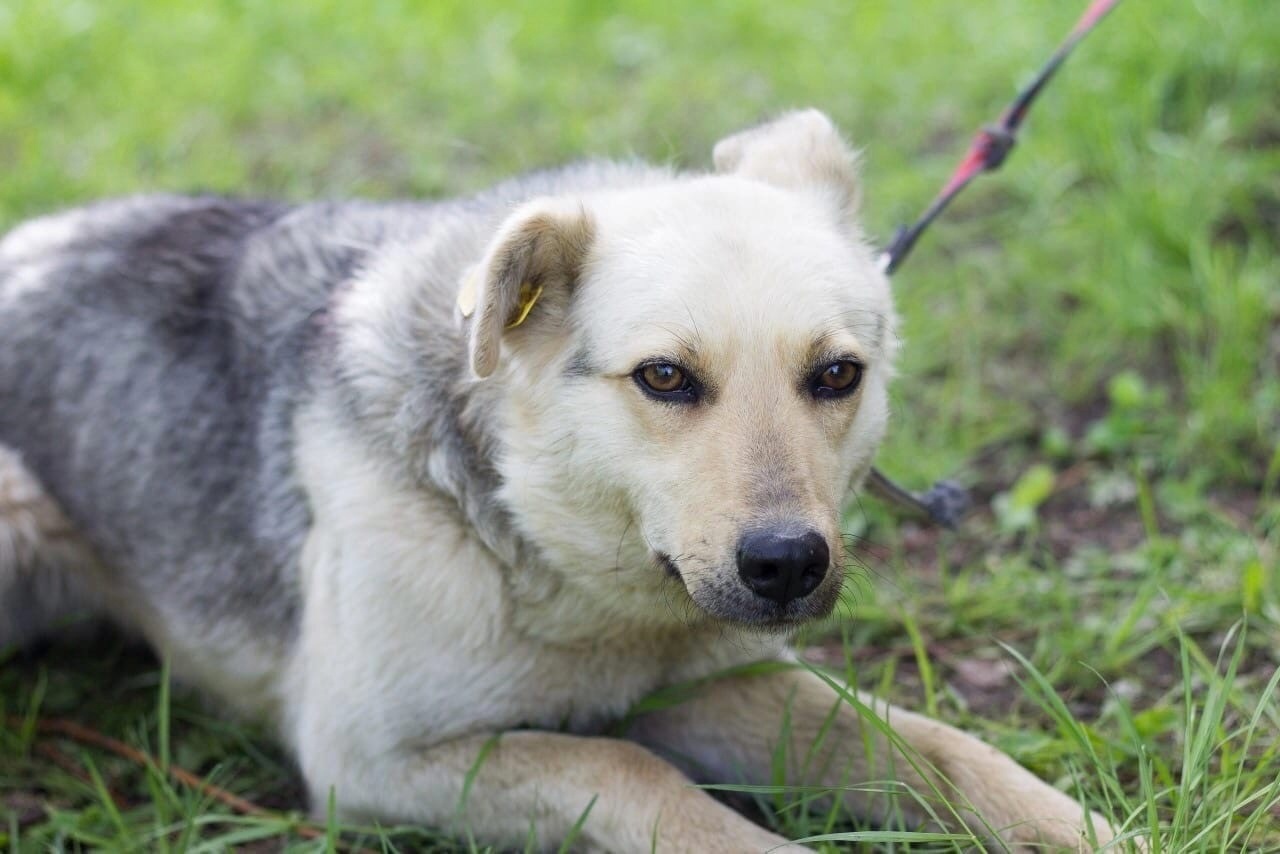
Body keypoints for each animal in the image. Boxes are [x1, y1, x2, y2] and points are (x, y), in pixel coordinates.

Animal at [0, 110, 1121, 850]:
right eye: (664, 377)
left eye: (836, 375)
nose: (788, 566)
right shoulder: (373, 760)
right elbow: (632, 772)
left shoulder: (716, 683)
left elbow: (929, 746)